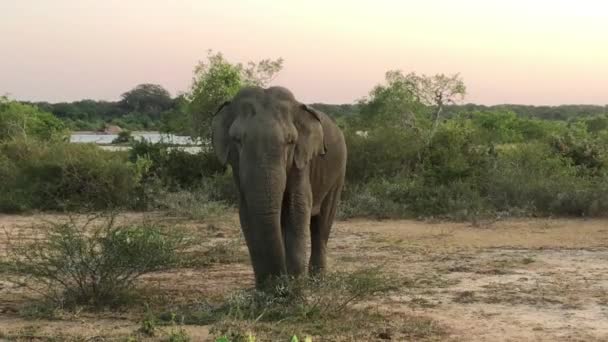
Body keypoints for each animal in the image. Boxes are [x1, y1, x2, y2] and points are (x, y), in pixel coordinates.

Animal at [211, 86, 346, 288]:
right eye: (237, 140)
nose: (279, 285)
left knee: (323, 221)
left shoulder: (301, 160)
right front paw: (265, 291)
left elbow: (297, 207)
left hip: (339, 171)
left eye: (290, 141)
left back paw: (317, 282)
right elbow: (246, 213)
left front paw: (295, 290)